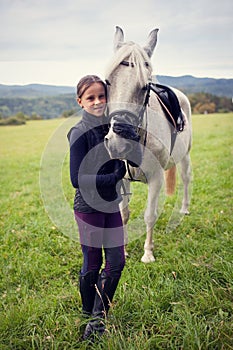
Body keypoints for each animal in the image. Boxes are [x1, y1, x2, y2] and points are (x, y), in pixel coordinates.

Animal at [104, 26, 192, 262]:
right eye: (107, 82)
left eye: (145, 87)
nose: (118, 143)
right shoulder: (120, 179)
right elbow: (124, 214)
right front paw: (124, 250)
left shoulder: (155, 178)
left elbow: (149, 215)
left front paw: (148, 253)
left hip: (185, 155)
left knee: (186, 178)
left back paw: (184, 209)